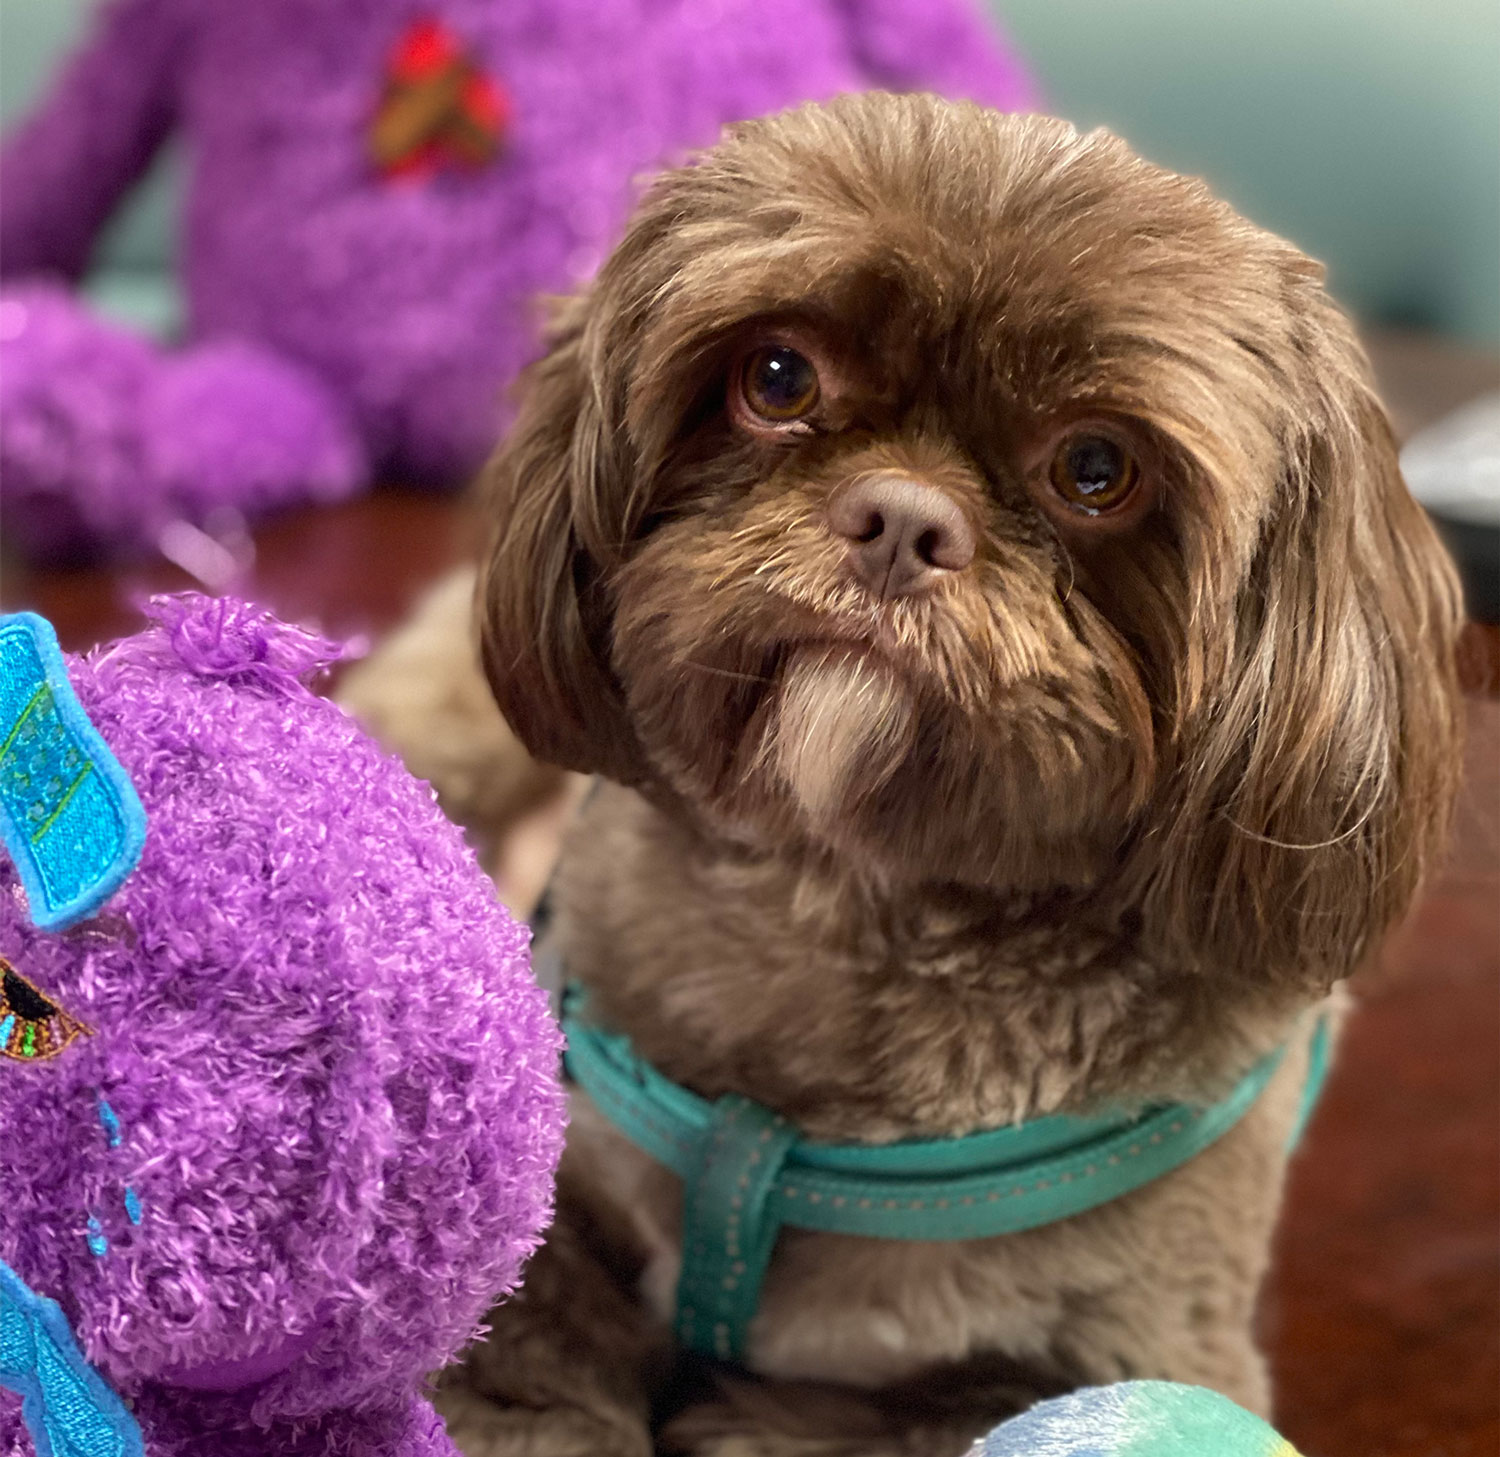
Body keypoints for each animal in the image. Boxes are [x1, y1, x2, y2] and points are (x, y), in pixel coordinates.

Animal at [345, 94, 1458, 1457]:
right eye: (777, 377)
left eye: (1096, 468)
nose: (900, 517)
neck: (846, 905)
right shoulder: (567, 1190)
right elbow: (523, 1355)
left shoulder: (1145, 1353)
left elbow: (905, 1417)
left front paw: (750, 1417)